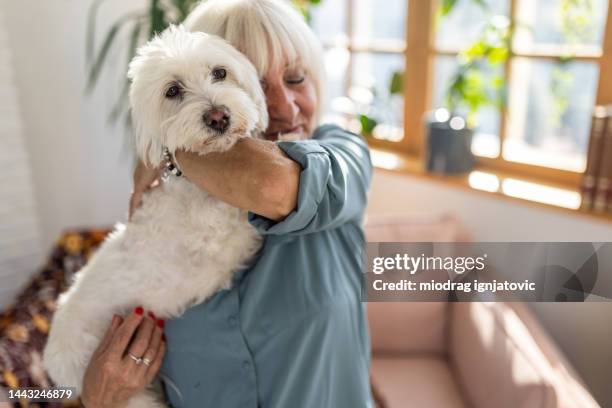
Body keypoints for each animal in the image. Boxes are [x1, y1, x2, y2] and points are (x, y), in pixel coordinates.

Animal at [42, 26, 268, 408]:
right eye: (172, 91)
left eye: (220, 72)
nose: (218, 116)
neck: (197, 187)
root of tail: (51, 360)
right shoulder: (224, 240)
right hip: (130, 390)